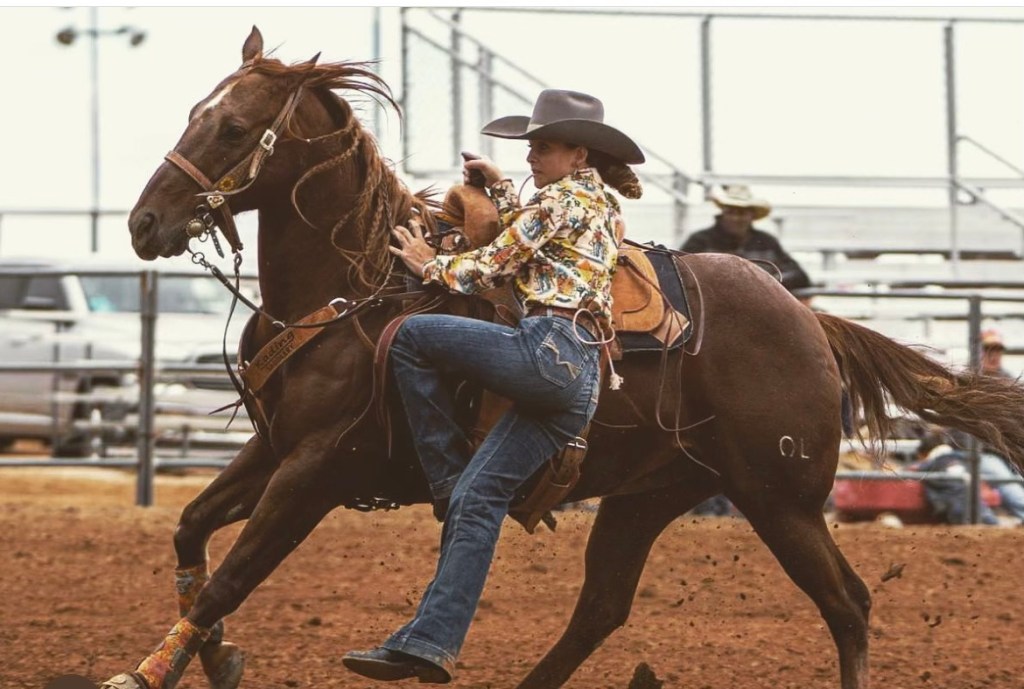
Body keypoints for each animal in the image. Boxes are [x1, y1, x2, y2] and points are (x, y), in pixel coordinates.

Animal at [109, 27, 1024, 689]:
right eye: (194, 111)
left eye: (233, 126)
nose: (143, 224)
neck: (354, 293)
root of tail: (810, 319)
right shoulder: (273, 446)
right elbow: (192, 532)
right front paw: (211, 655)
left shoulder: (320, 467)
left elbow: (231, 573)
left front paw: (150, 671)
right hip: (651, 494)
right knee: (603, 605)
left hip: (780, 498)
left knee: (848, 603)